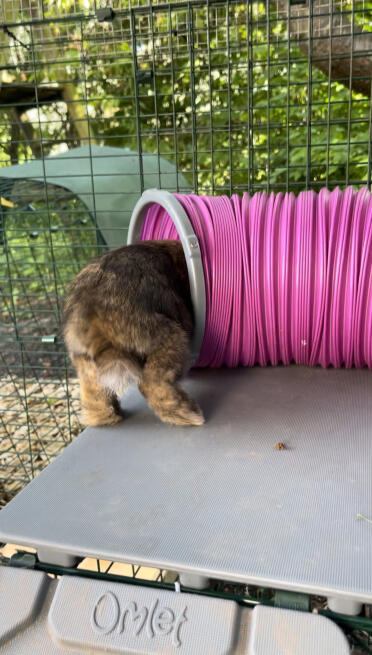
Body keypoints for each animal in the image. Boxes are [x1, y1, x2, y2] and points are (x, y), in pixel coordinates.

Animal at [62, 241, 205, 430]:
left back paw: (108, 417)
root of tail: (92, 304)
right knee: (151, 383)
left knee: (94, 395)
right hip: (169, 339)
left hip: (84, 360)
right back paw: (188, 414)